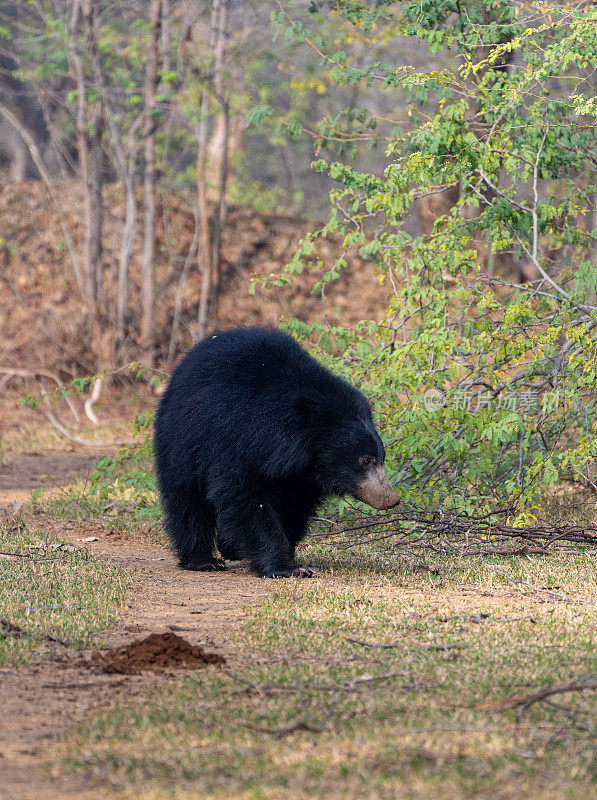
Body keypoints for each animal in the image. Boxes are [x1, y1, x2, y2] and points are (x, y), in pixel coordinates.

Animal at [154, 328, 398, 580]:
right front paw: (289, 567)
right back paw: (203, 560)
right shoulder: (234, 439)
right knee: (187, 500)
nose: (391, 499)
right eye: (365, 461)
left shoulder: (301, 475)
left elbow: (294, 507)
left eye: (381, 459)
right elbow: (244, 497)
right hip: (181, 440)